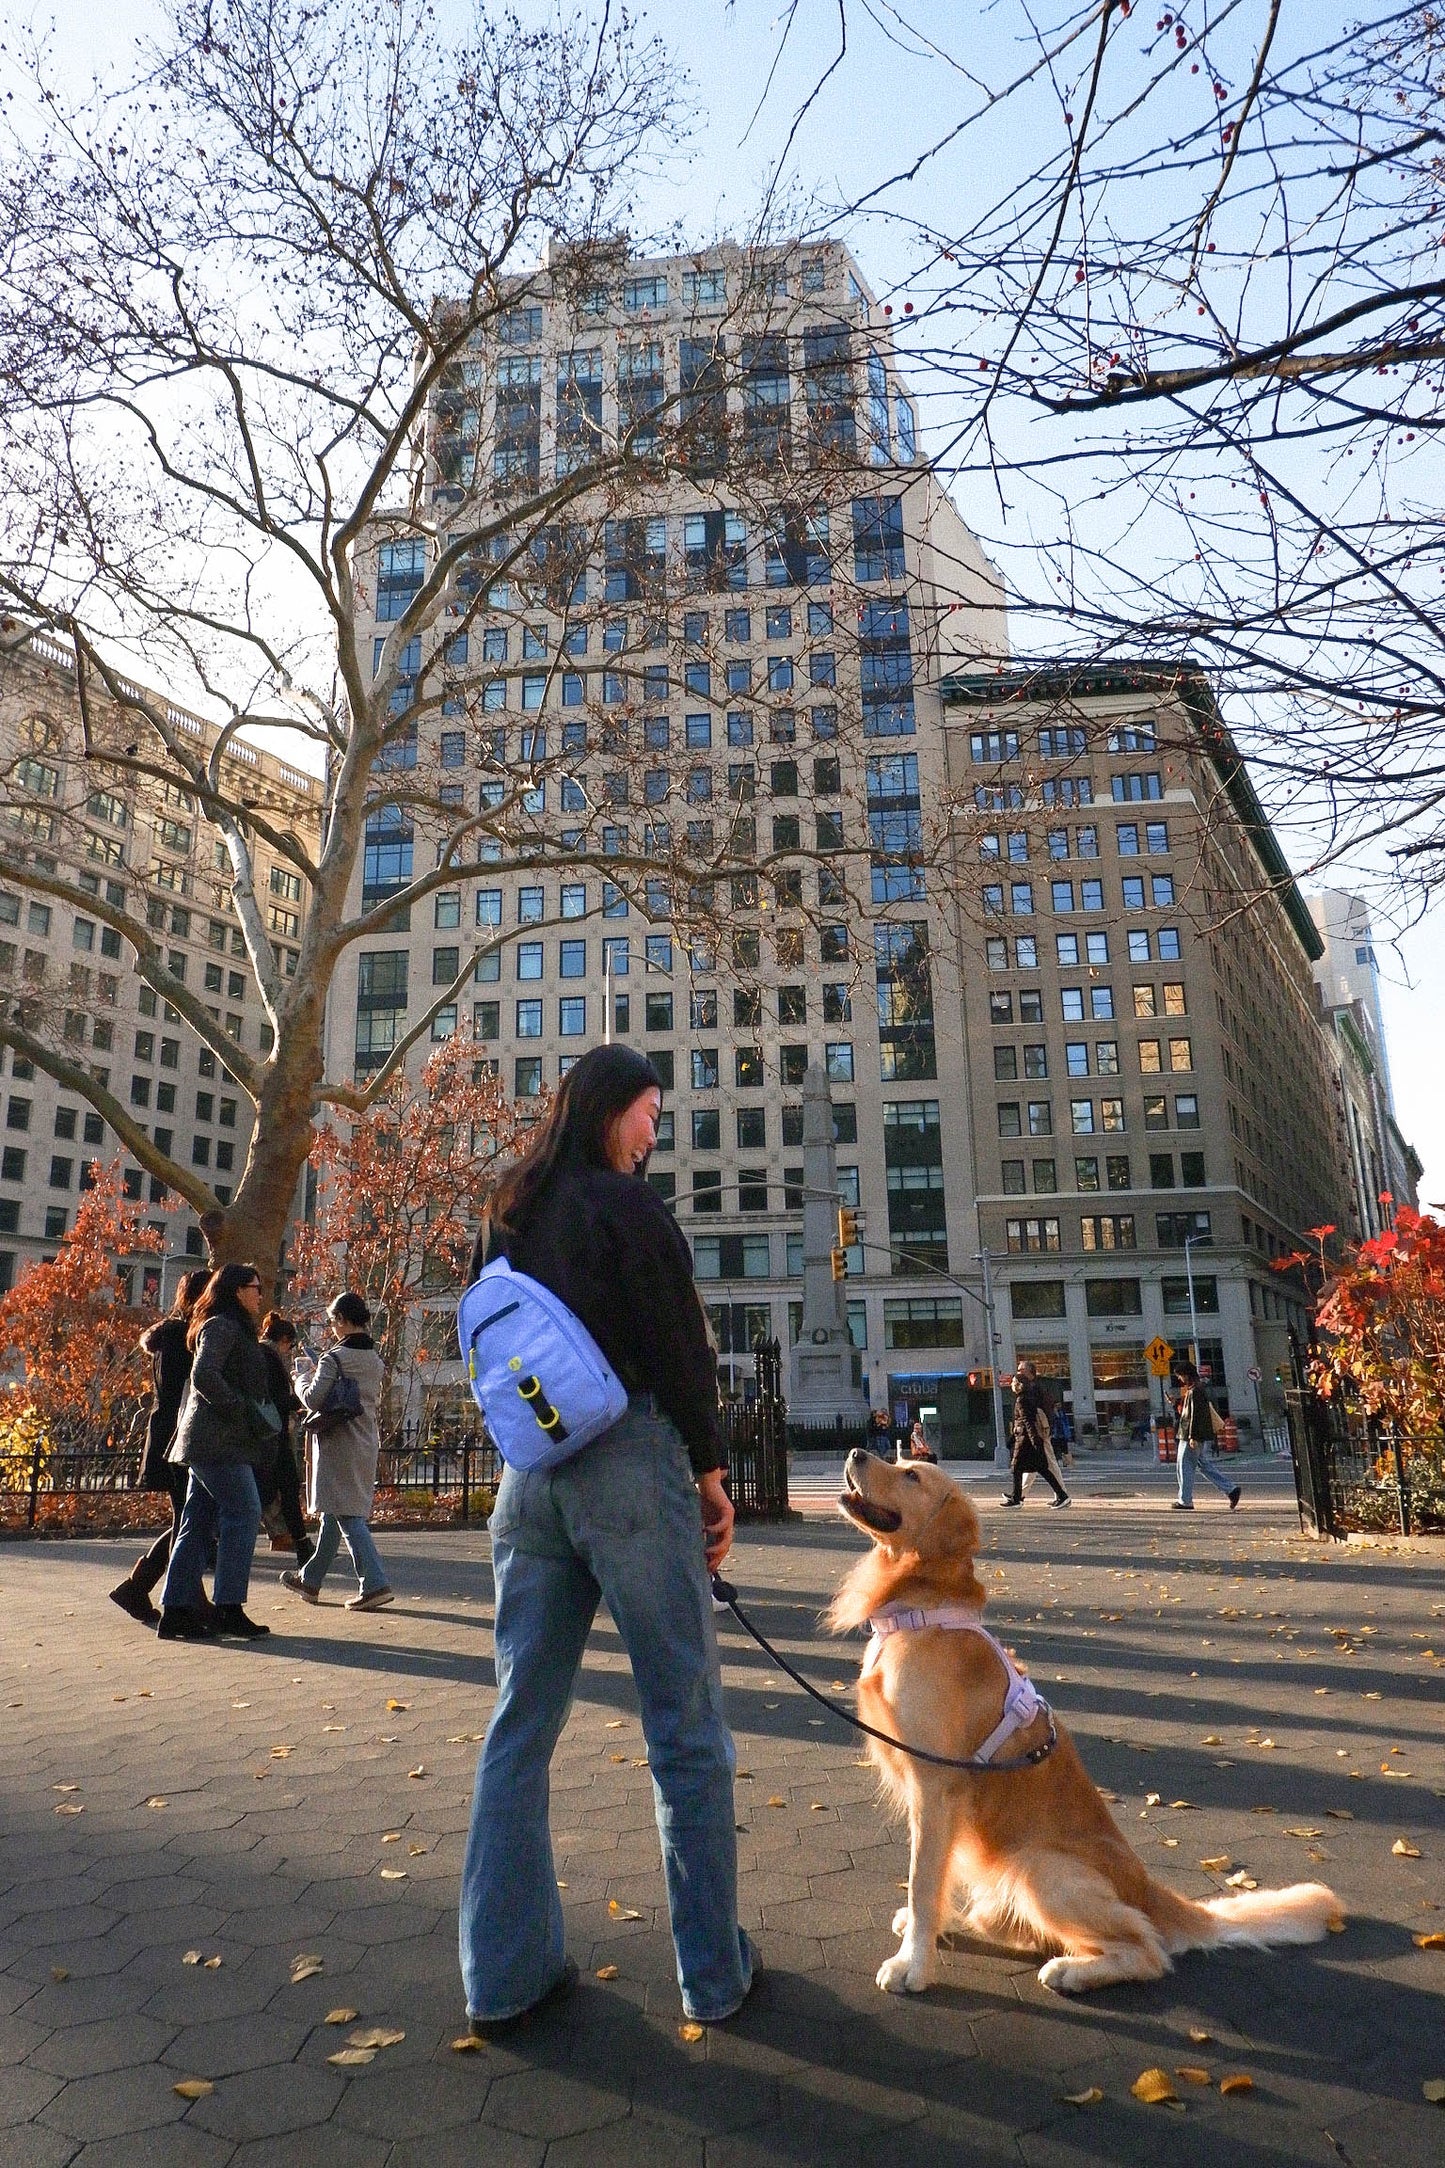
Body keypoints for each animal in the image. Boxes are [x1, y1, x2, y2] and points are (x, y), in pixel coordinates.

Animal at [823, 1448, 1343, 1985]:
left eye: (910, 1475)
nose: (855, 1452)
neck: (920, 1613)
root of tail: (1149, 1889)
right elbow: (932, 1876)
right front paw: (921, 1934)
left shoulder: (934, 1783)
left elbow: (922, 1880)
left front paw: (911, 1963)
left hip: (1040, 1867)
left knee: (1149, 1949)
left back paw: (1072, 1971)